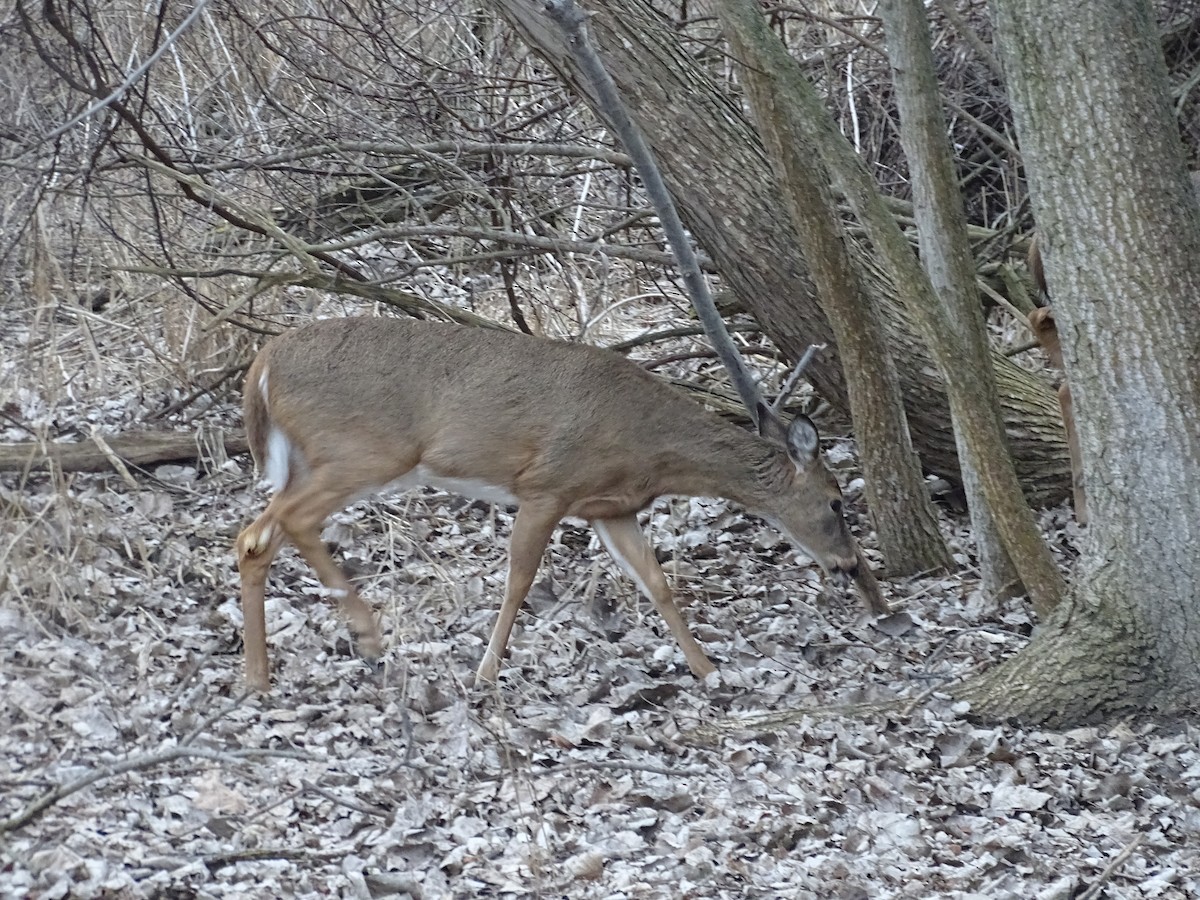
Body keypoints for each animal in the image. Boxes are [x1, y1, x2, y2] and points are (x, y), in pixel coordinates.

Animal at [235, 316, 888, 692]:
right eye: (836, 504)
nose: (849, 567)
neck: (652, 447)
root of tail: (261, 365)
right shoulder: (548, 485)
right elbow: (519, 579)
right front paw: (487, 672)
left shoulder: (611, 508)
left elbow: (657, 583)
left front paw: (707, 669)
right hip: (363, 451)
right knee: (282, 525)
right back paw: (365, 637)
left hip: (323, 460)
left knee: (255, 535)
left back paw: (261, 675)